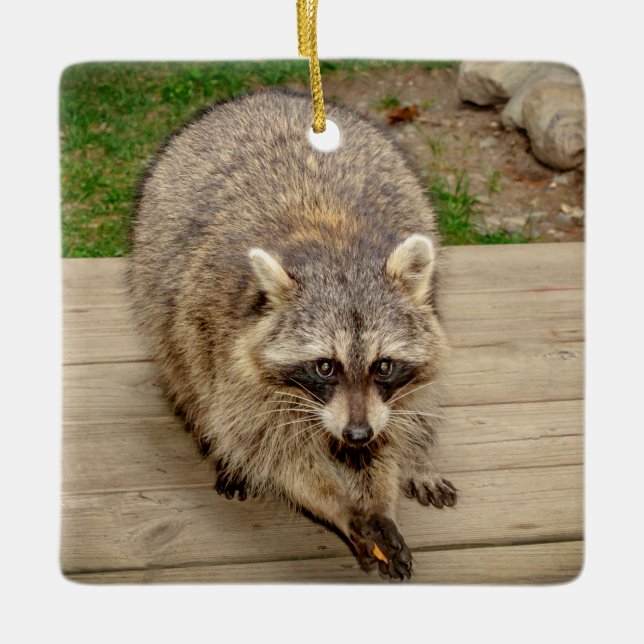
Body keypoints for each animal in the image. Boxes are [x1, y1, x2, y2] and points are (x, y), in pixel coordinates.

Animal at [128, 89, 457, 580]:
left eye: (383, 365)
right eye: (324, 366)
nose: (356, 434)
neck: (335, 245)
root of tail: (269, 94)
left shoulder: (388, 392)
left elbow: (391, 429)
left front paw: (382, 492)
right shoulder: (225, 346)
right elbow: (271, 448)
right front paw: (340, 506)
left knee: (418, 406)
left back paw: (418, 458)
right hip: (160, 294)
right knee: (186, 376)